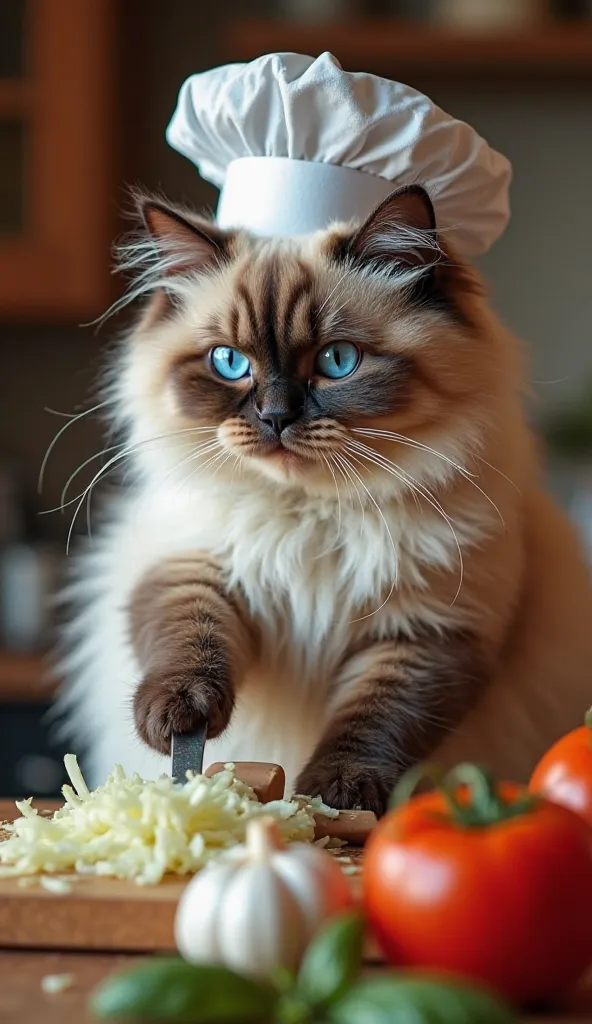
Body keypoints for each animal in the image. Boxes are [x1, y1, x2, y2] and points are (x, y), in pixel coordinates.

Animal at [57, 182, 589, 806]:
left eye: (337, 361)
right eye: (229, 362)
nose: (275, 417)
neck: (312, 512)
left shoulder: (425, 630)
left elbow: (372, 721)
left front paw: (338, 795)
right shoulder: (195, 566)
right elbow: (190, 640)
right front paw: (179, 714)